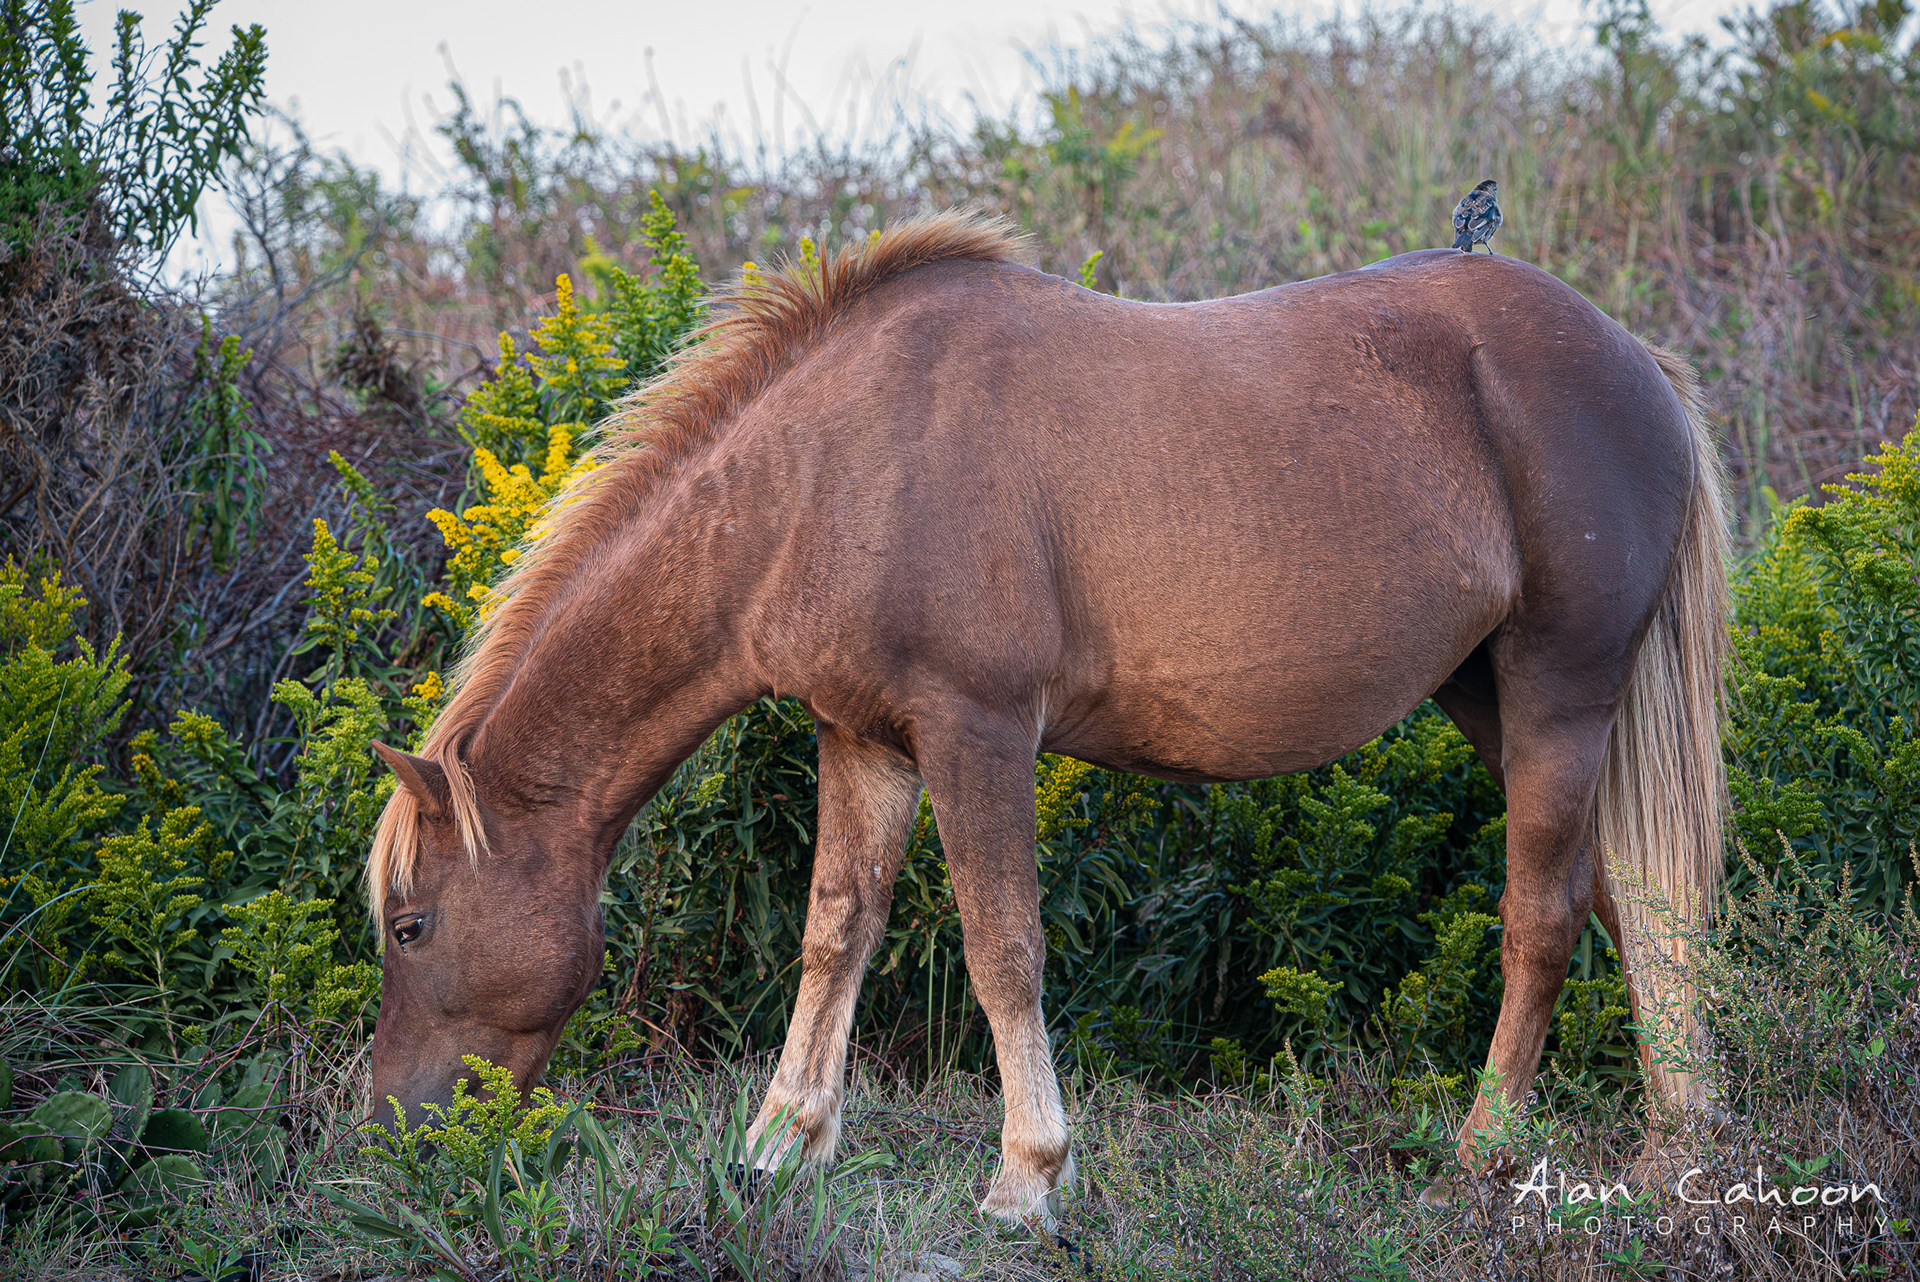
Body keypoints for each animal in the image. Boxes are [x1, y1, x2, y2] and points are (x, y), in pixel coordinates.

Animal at [363, 210, 1728, 1224]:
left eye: (413, 925)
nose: (393, 1134)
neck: (828, 469)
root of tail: (1639, 364)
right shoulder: (863, 738)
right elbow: (835, 933)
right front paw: (780, 1145)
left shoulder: (977, 730)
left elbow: (1000, 945)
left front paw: (1026, 1177)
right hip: (1491, 694)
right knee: (1633, 903)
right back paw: (1678, 1149)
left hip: (1559, 688)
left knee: (1543, 917)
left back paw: (1483, 1154)